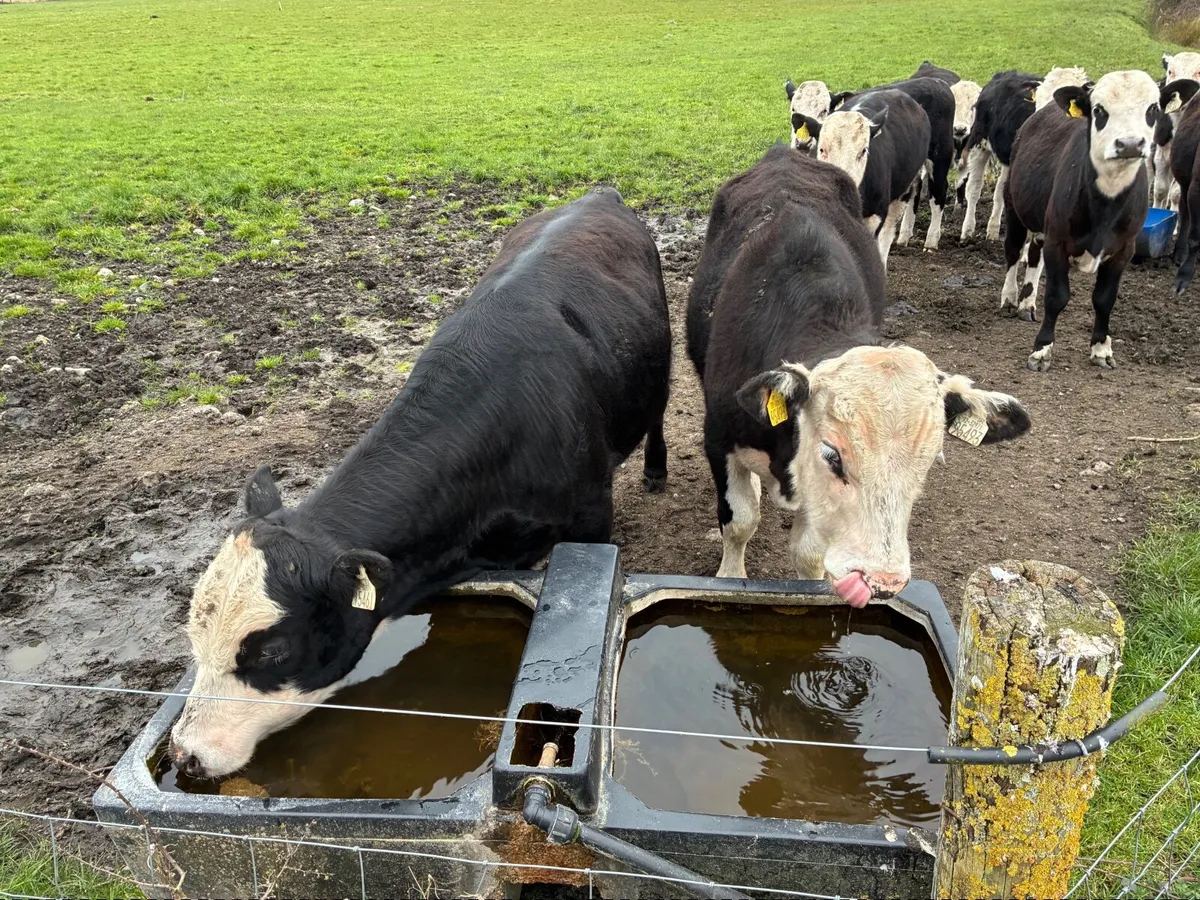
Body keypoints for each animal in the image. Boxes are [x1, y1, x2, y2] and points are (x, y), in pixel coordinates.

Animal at [167, 188, 672, 778]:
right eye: (194, 638)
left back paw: (656, 470)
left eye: (272, 651)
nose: (186, 754)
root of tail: (599, 194)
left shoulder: (591, 520)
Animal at [686, 144, 1030, 605]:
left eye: (929, 461)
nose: (882, 580)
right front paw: (728, 576)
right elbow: (739, 521)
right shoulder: (718, 438)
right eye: (832, 455)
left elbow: (810, 550)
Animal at [828, 77, 956, 249]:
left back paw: (931, 241)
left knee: (938, 193)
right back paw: (904, 236)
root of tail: (937, 81)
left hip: (940, 156)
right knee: (915, 189)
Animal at [958, 68, 1090, 242]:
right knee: (974, 188)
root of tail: (1002, 74)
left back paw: (992, 231)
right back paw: (967, 231)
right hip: (978, 144)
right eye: (1041, 101)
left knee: (1000, 188)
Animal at [1002, 72, 1182, 371]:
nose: (1129, 144)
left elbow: (1104, 300)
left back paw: (1027, 304)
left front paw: (1101, 349)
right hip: (1014, 208)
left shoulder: (1124, 250)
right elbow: (1057, 297)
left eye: (1153, 109)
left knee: (1034, 256)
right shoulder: (1058, 242)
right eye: (1099, 110)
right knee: (1014, 252)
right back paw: (1009, 297)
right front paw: (1042, 350)